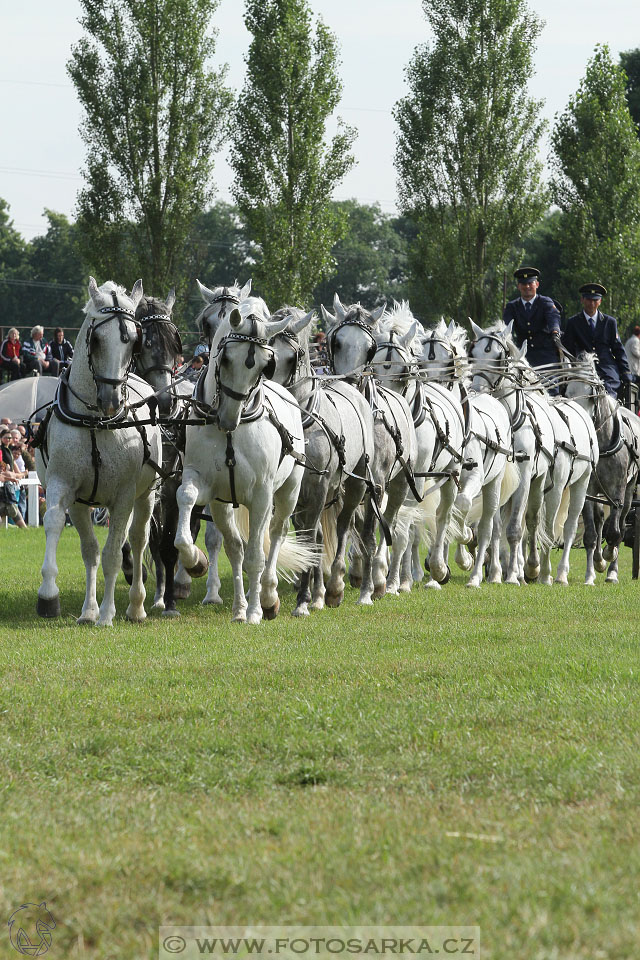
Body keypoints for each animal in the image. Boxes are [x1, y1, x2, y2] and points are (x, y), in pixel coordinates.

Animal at [33, 280, 161, 624]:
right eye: (96, 339)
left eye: (133, 341)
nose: (111, 399)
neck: (94, 421)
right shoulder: (65, 487)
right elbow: (59, 527)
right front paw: (51, 596)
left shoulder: (123, 496)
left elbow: (113, 553)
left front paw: (106, 614)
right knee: (95, 548)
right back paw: (90, 609)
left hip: (146, 495)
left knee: (138, 540)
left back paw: (135, 605)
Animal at [174, 304, 314, 628]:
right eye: (226, 358)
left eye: (264, 366)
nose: (228, 417)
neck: (230, 433)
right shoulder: (208, 487)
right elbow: (186, 500)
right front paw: (194, 561)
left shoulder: (261, 494)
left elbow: (255, 556)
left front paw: (255, 612)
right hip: (226, 503)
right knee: (236, 547)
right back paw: (240, 605)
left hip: (288, 491)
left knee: (276, 533)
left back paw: (268, 597)